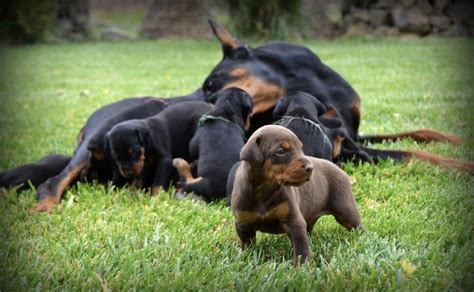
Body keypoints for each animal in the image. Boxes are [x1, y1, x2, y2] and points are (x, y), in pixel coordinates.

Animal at [231, 125, 364, 264]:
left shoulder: (294, 221)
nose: (310, 168)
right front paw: (246, 257)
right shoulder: (243, 223)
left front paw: (301, 265)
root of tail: (338, 167)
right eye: (281, 151)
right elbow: (247, 244)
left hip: (345, 210)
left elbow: (300, 245)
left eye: (301, 148)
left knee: (357, 225)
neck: (265, 190)